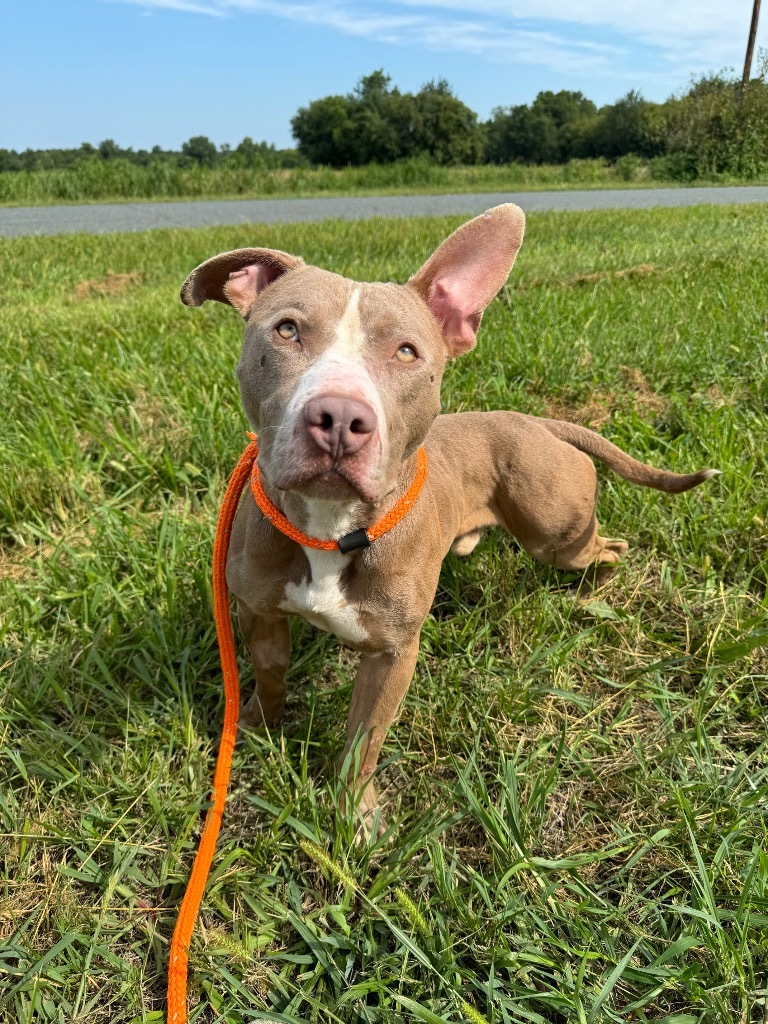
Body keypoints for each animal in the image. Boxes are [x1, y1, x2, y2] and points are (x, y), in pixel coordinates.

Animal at [182, 205, 716, 831]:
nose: (339, 417)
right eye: (287, 329)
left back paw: (594, 591)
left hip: (554, 530)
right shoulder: (260, 614)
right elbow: (269, 678)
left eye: (406, 352)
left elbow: (364, 738)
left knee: (609, 547)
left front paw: (354, 813)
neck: (332, 527)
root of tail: (536, 421)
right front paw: (255, 729)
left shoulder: (392, 655)